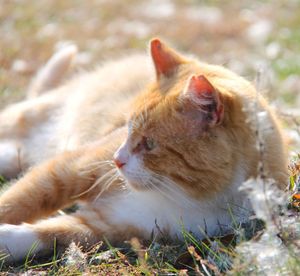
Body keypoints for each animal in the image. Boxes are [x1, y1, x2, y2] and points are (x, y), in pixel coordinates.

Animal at [0, 38, 288, 260]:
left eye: (149, 143)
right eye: (126, 129)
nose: (116, 160)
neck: (184, 195)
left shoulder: (109, 226)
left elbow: (51, 234)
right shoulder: (69, 168)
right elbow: (18, 201)